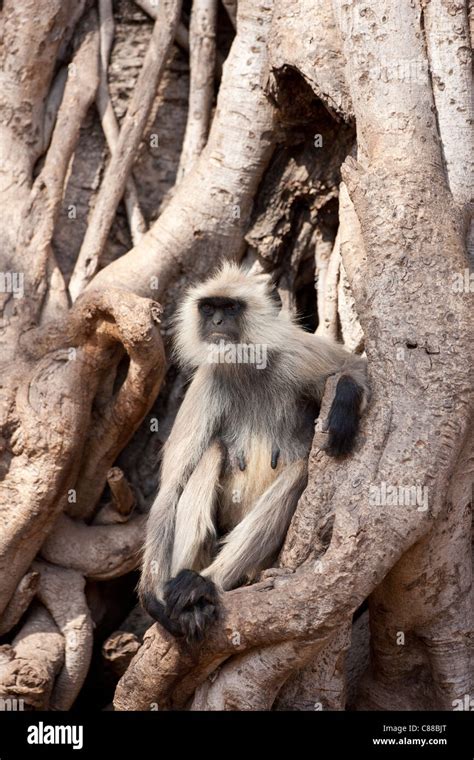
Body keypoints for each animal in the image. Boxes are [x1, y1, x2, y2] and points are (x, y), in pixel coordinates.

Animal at [139, 262, 368, 640]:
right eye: (209, 308)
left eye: (231, 308)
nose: (217, 321)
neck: (245, 366)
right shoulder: (208, 381)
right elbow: (170, 489)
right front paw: (152, 599)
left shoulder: (294, 355)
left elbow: (358, 368)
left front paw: (346, 399)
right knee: (212, 452)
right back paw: (188, 599)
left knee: (299, 469)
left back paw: (205, 585)